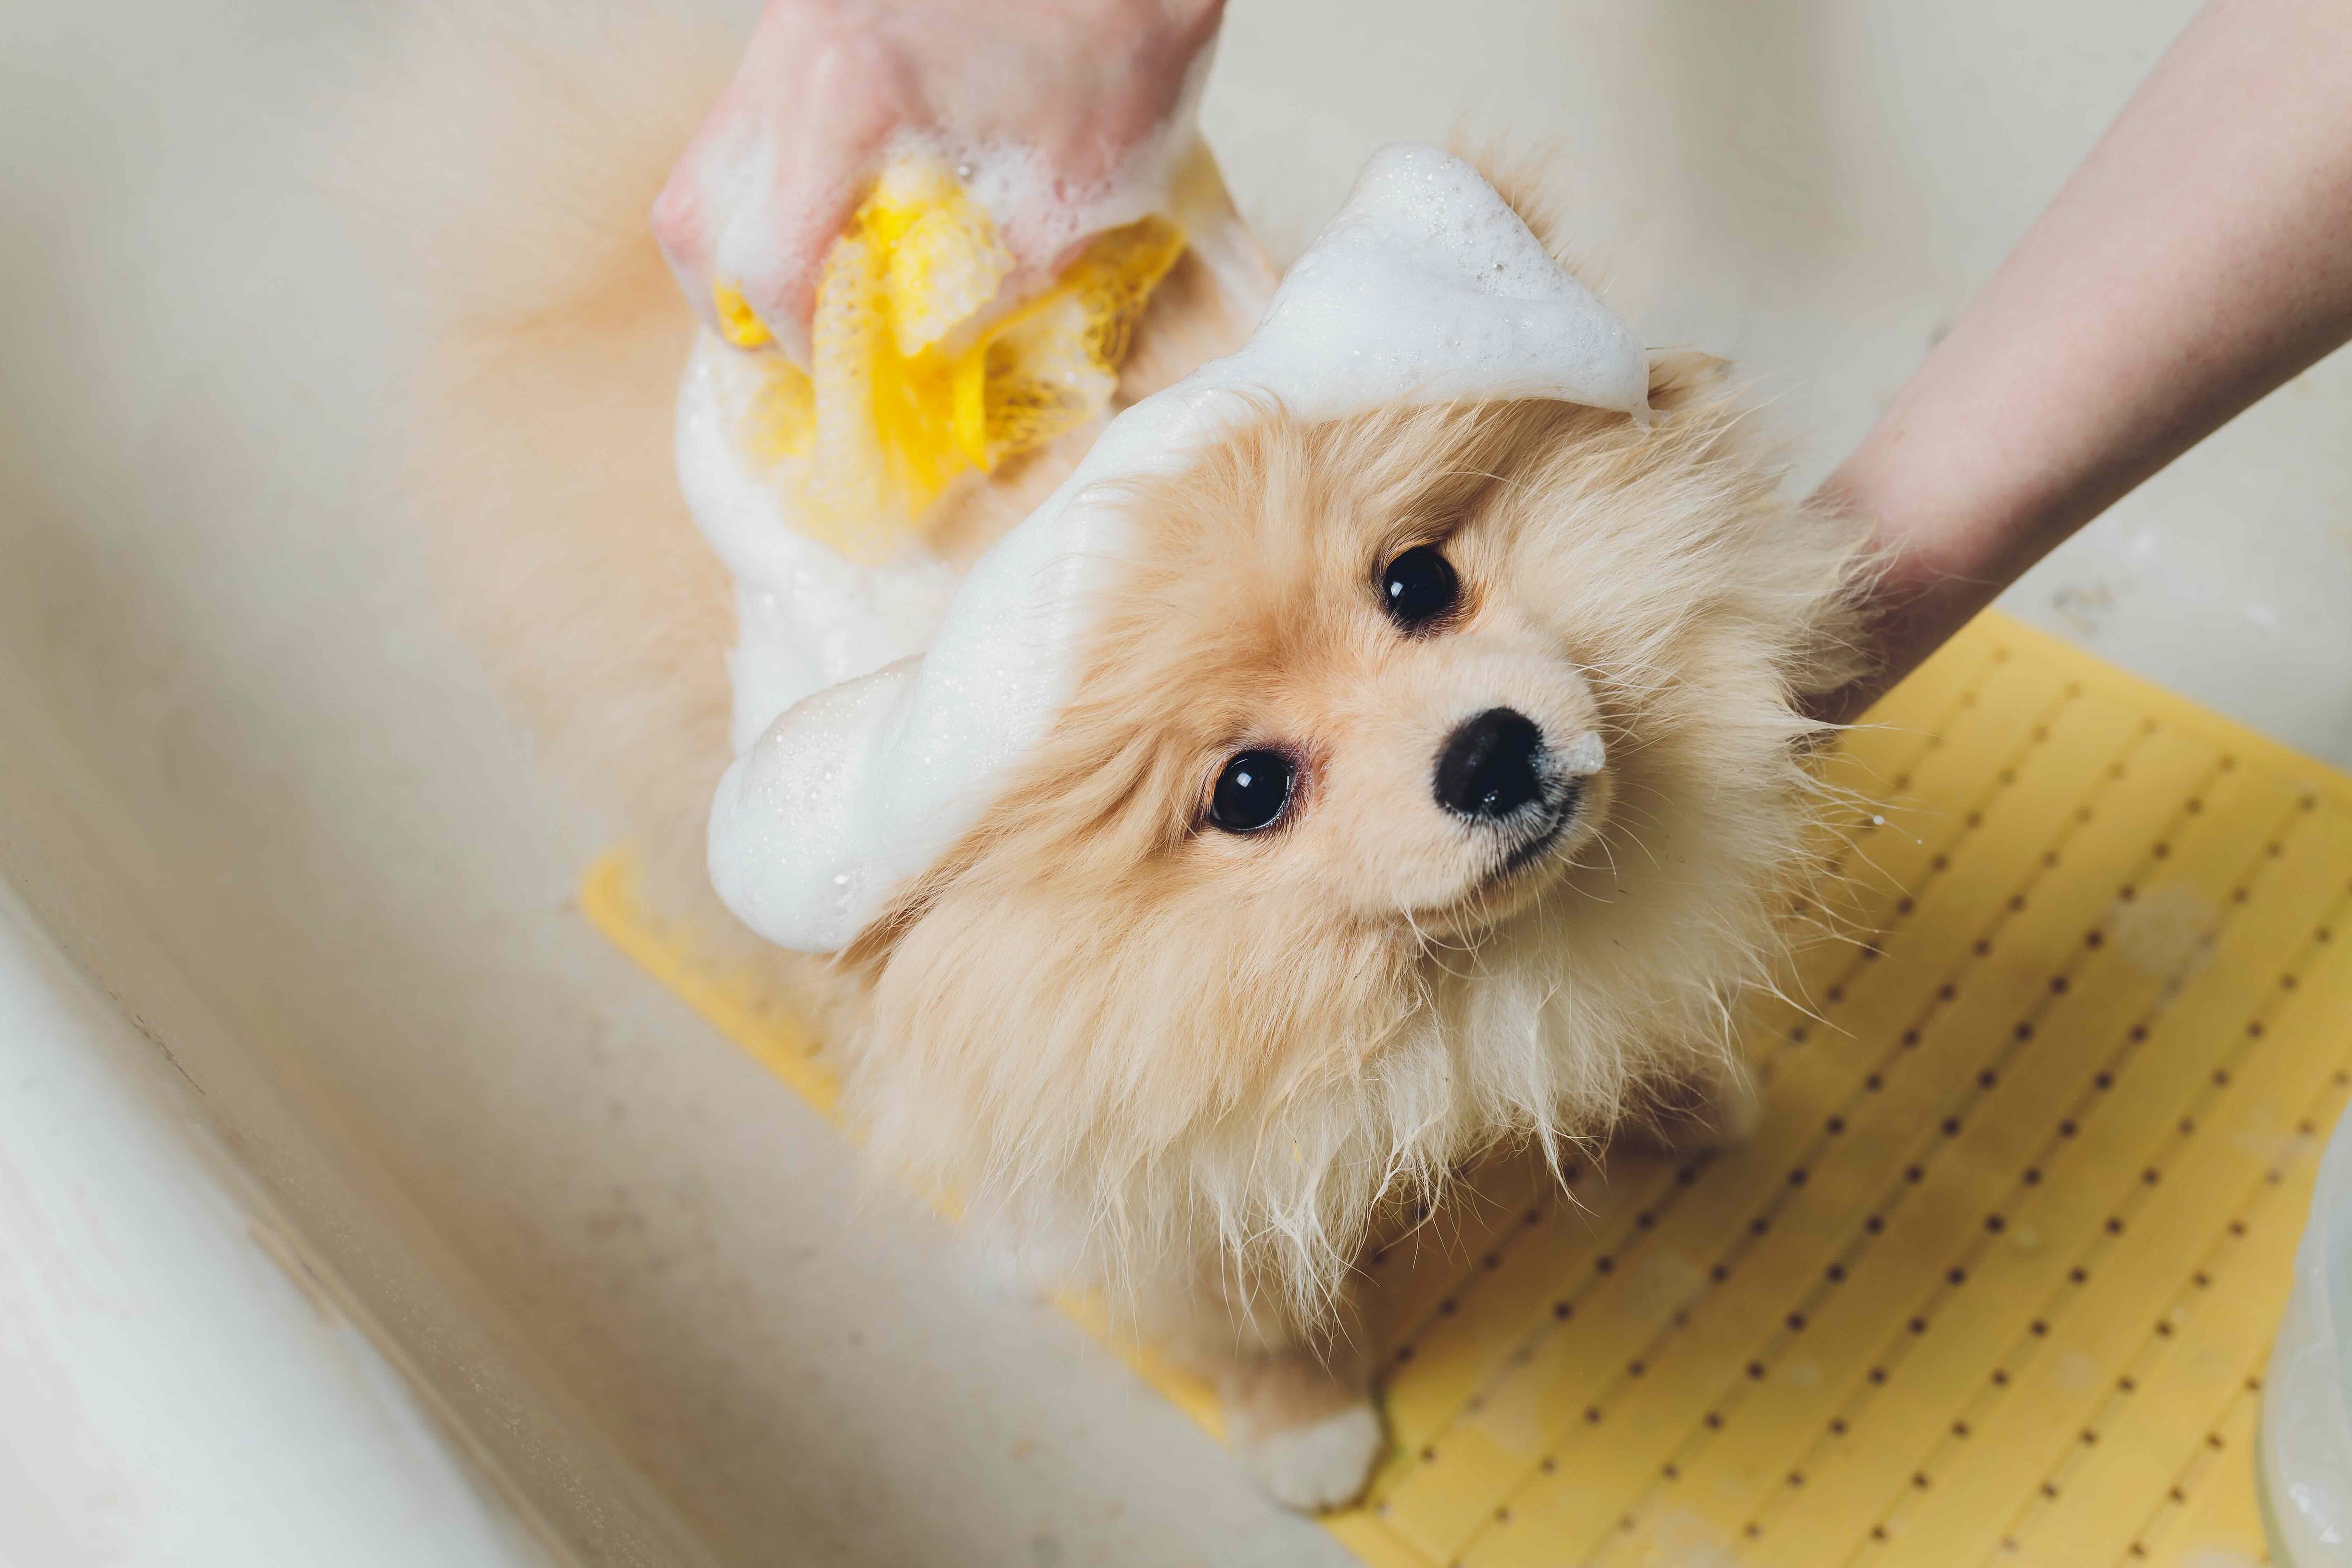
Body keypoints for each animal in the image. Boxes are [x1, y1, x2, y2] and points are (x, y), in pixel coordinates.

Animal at [386, 6, 1872, 1514]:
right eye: (1249, 791)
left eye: (1419, 582)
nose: (1486, 751)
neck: (1428, 986)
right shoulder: (1143, 1160)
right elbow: (1237, 1319)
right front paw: (1302, 1421)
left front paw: (1676, 1099)